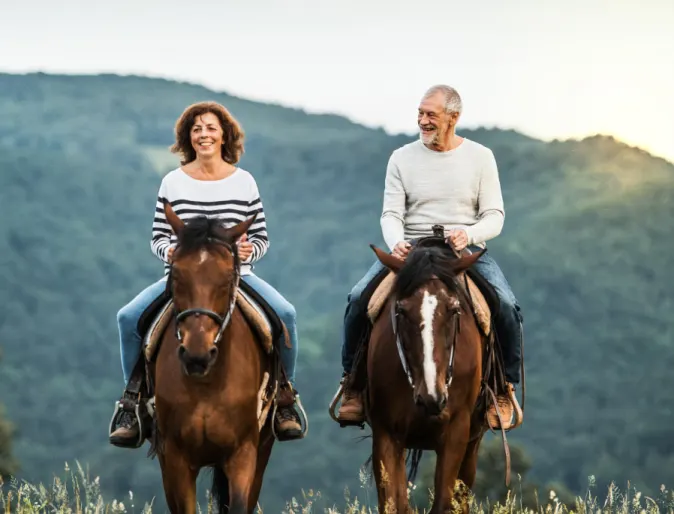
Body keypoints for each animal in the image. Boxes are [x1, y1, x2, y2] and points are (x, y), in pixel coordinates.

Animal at [150, 204, 276, 512]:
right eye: (176, 275)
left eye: (228, 278)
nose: (197, 355)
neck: (208, 384)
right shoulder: (175, 459)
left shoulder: (244, 455)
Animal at [364, 237, 490, 512]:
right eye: (401, 311)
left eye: (454, 310)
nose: (431, 397)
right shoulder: (386, 431)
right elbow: (393, 504)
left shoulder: (457, 431)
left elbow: (444, 503)